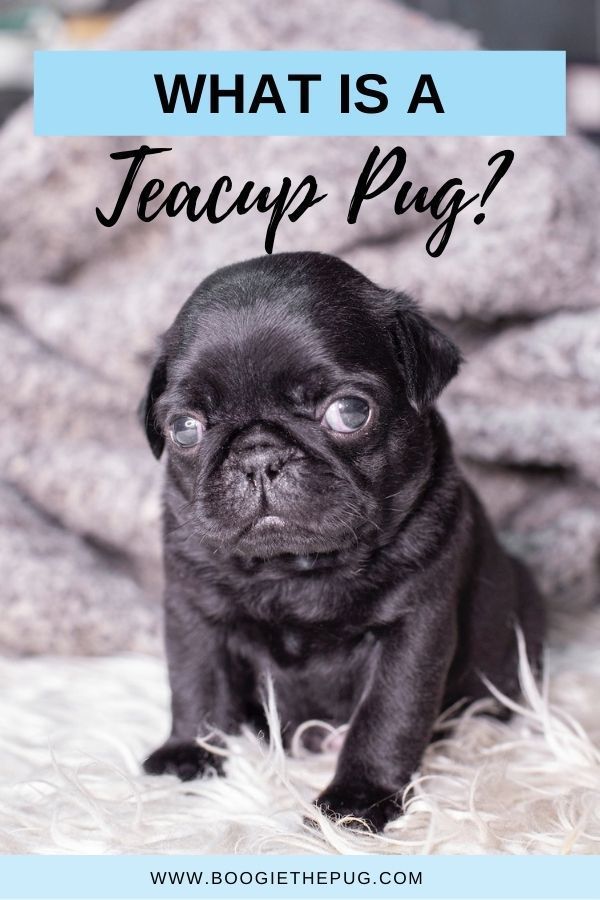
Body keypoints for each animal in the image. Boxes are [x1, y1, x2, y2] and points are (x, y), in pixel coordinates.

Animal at [139, 250, 544, 828]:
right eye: (185, 429)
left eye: (350, 412)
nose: (258, 457)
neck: (298, 569)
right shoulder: (195, 613)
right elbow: (197, 684)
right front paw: (187, 757)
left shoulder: (413, 630)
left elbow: (388, 714)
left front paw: (357, 801)